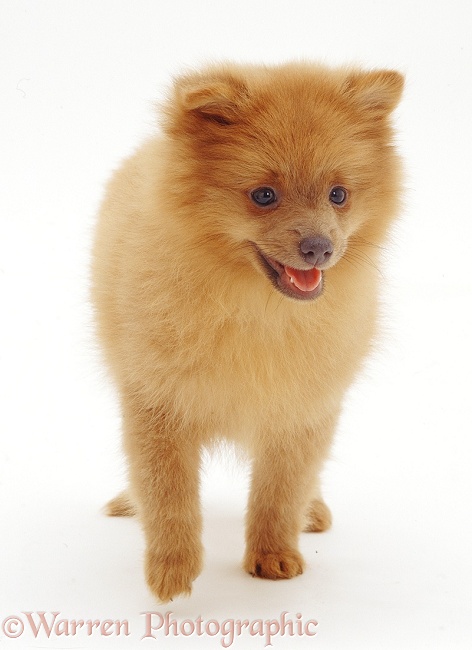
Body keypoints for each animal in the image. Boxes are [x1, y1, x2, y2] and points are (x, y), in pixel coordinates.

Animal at [91, 63, 402, 600]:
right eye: (264, 196)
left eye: (338, 195)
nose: (320, 247)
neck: (258, 309)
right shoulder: (157, 400)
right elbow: (167, 489)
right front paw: (171, 567)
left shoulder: (301, 410)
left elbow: (281, 489)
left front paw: (274, 554)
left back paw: (312, 510)